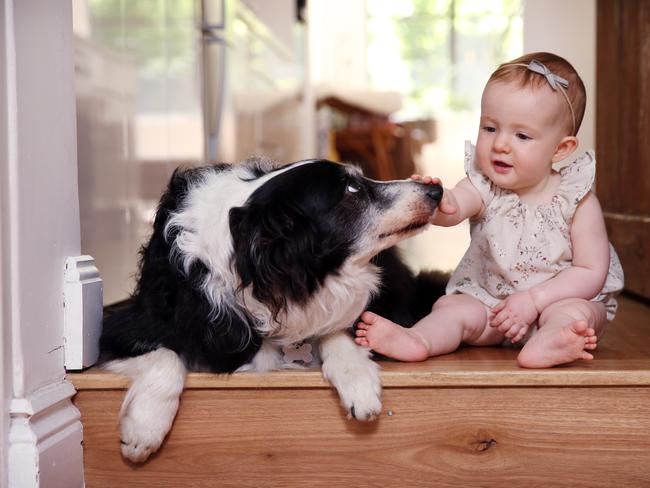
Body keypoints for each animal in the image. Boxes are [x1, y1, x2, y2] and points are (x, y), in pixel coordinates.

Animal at [101, 157, 442, 462]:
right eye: (352, 188)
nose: (435, 189)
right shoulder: (123, 324)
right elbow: (166, 356)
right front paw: (144, 427)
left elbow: (336, 327)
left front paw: (357, 379)